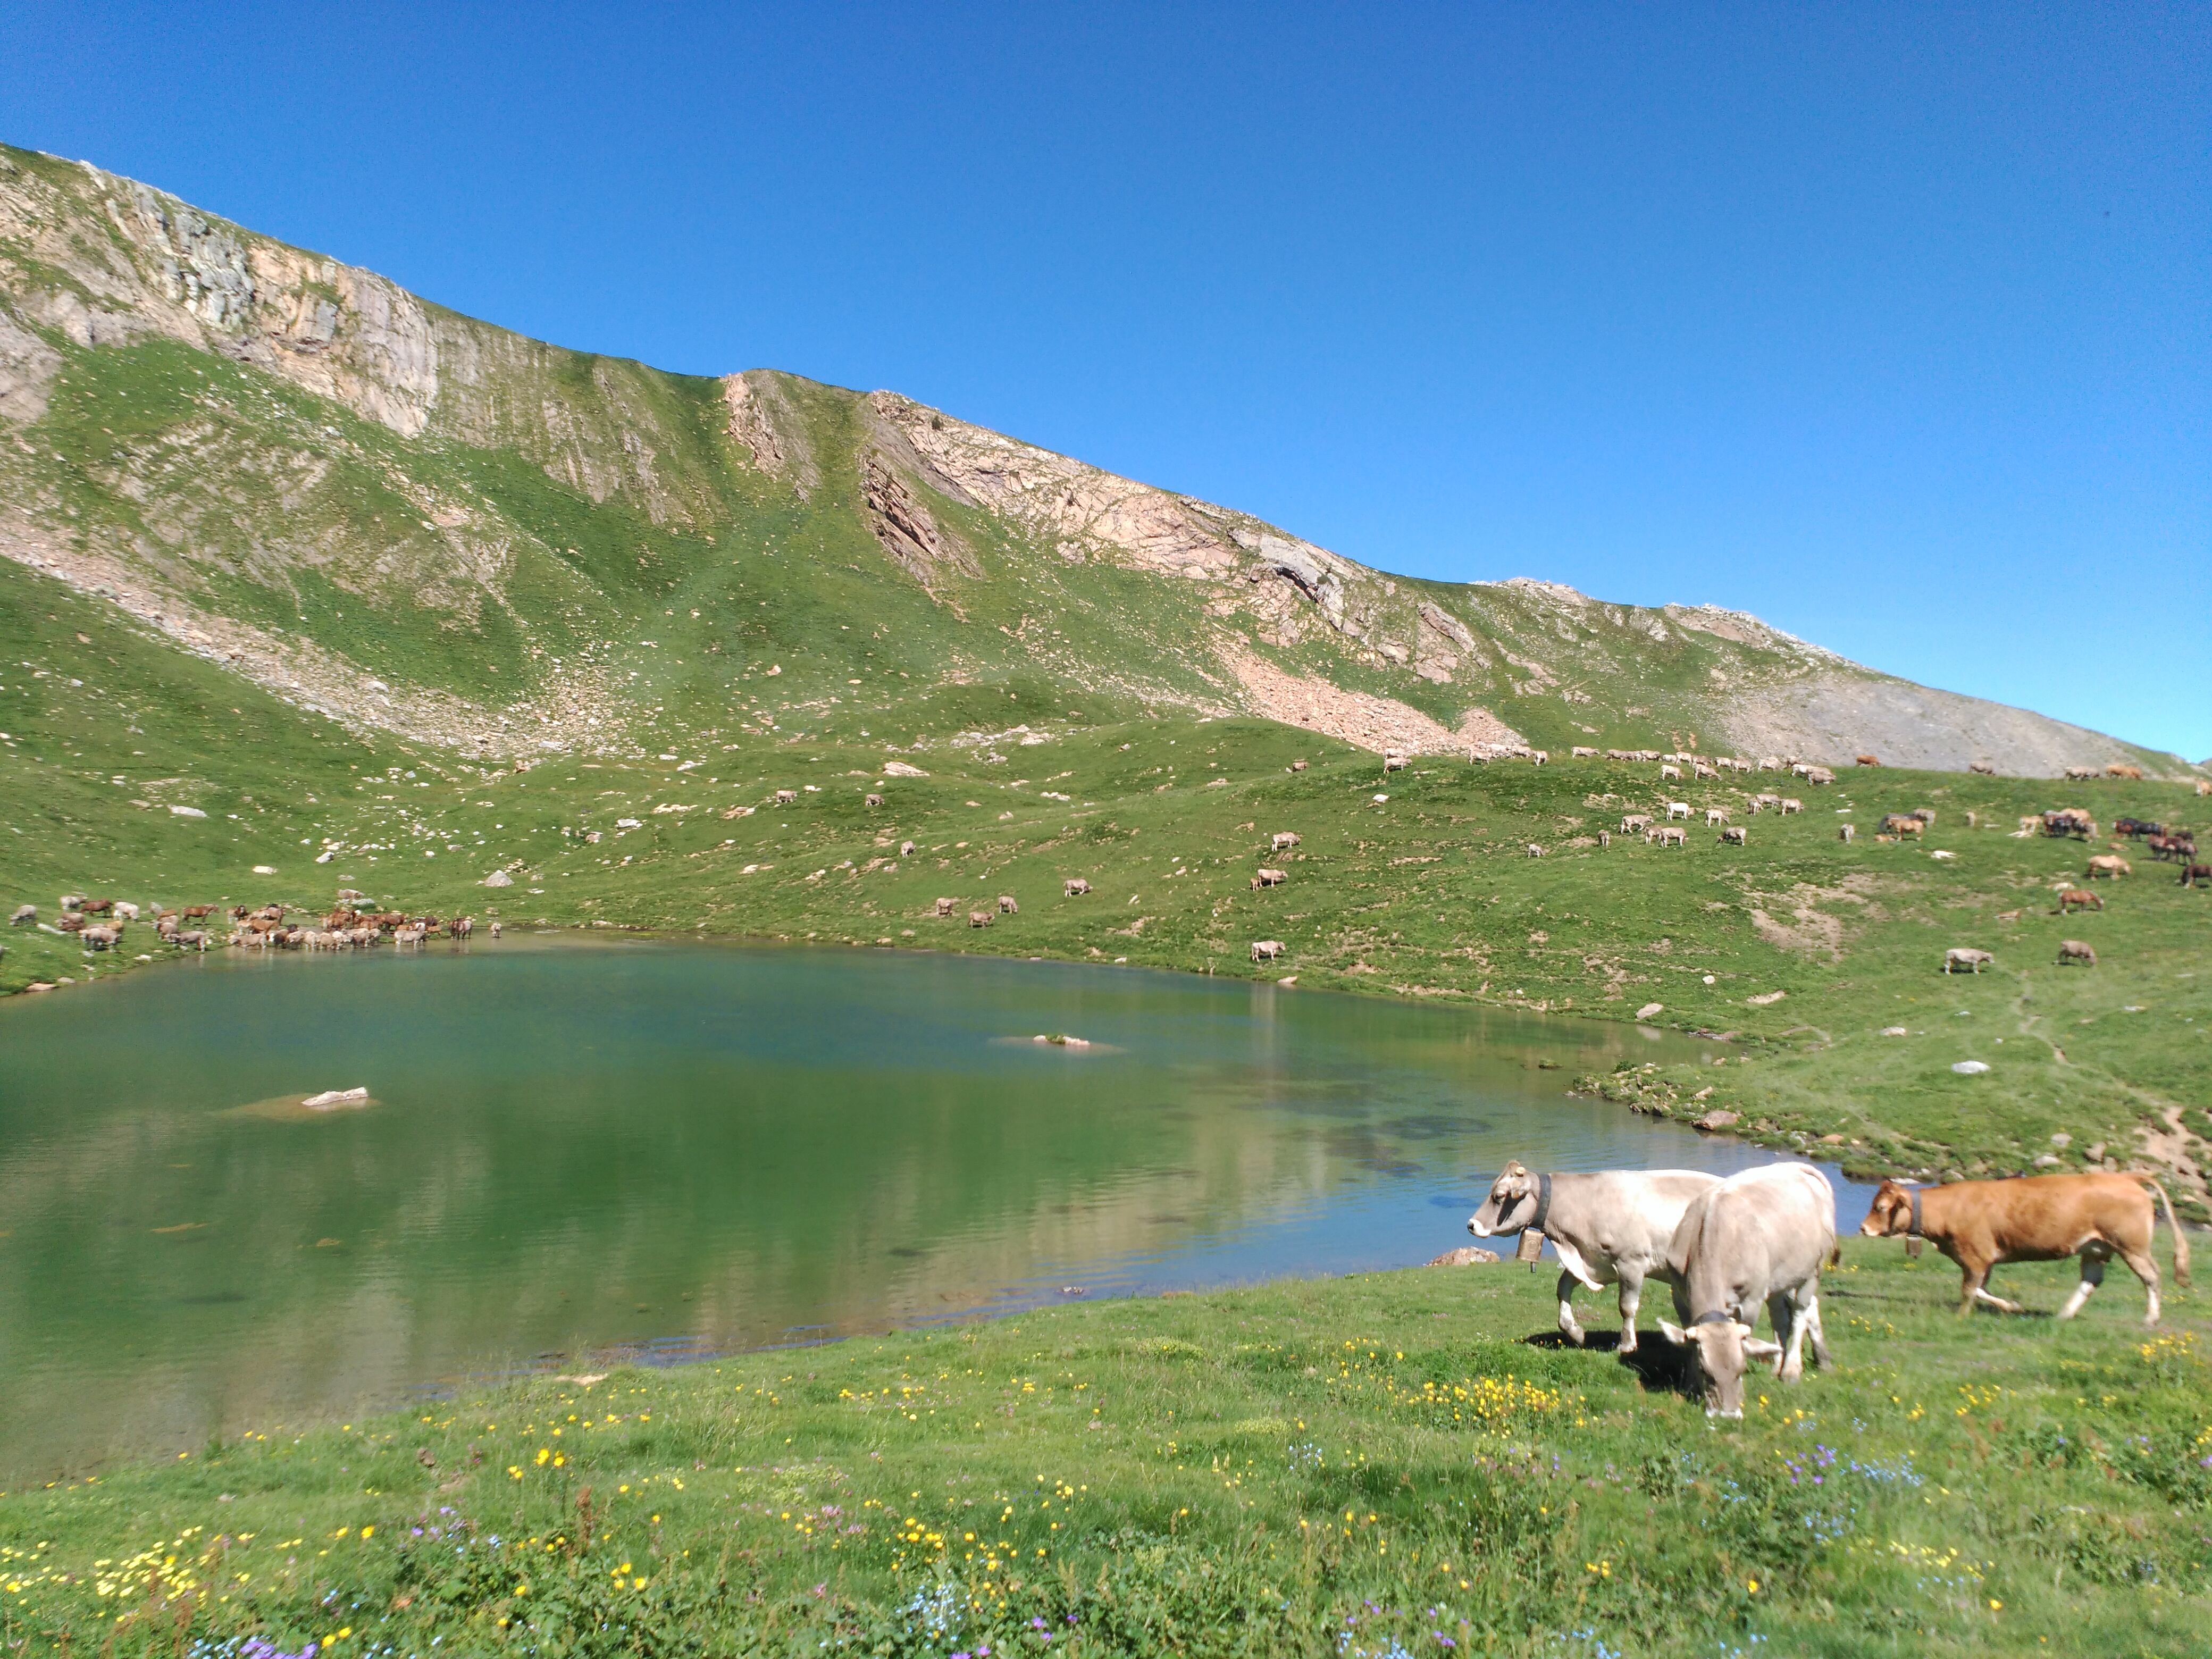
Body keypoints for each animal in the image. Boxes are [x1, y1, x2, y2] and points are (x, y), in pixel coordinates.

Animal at [1469, 1159, 1725, 1353]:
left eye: (1498, 1196)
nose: (1471, 1225)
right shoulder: (1597, 1262)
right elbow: (1562, 1288)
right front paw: (1576, 1333)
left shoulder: (1631, 1263)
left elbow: (1627, 1307)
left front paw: (1626, 1345)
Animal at [1654, 1159, 1840, 1425]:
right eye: (1705, 1370)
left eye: (1741, 1369)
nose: (1728, 1415)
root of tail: (1796, 1166)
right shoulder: (1678, 1294)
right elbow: (1688, 1338)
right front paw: (1689, 1384)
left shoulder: (1752, 1299)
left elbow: (1749, 1333)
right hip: (1778, 1277)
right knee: (1780, 1317)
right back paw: (1779, 1365)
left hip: (1812, 1271)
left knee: (1800, 1312)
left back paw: (1791, 1370)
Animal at [1867, 1177, 2194, 1336]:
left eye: (1881, 1207)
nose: (1863, 1227)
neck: (1950, 1210)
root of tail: (2126, 1177)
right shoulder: (1984, 1260)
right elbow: (1982, 1289)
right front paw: (2012, 1306)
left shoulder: (1976, 1256)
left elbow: (1969, 1290)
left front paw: (1961, 1317)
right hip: (2096, 1247)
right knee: (2091, 1281)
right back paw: (2063, 1315)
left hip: (2132, 1246)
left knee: (2152, 1276)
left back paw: (2151, 1318)